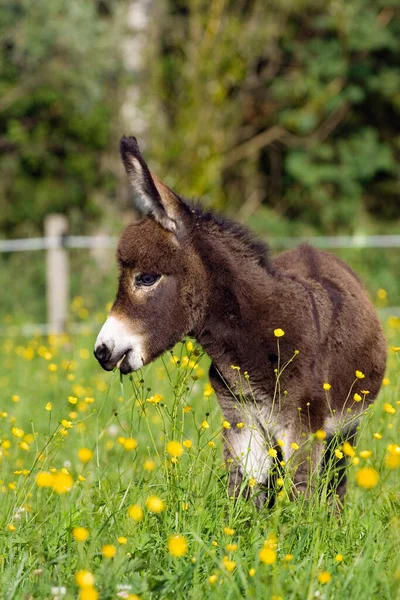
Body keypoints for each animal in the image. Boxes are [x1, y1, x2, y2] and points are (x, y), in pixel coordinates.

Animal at [94, 137, 388, 506]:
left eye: (147, 278)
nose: (102, 351)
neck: (258, 336)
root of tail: (315, 251)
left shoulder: (305, 425)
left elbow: (302, 497)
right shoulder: (241, 418)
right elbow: (245, 494)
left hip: (345, 428)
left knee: (336, 484)